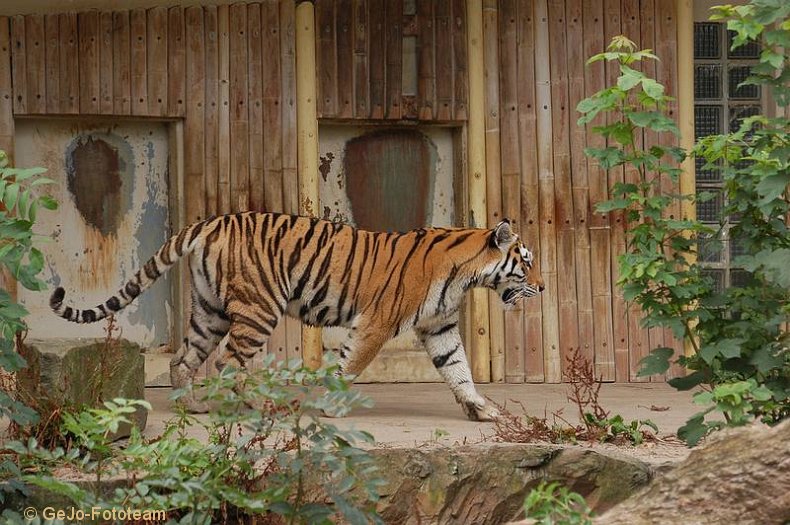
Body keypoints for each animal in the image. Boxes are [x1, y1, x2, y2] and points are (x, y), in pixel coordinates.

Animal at [49, 211, 544, 420]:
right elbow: (348, 367)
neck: (466, 274)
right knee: (227, 364)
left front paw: (481, 409)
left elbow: (459, 369)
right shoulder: (376, 324)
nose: (542, 287)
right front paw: (330, 406)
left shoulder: (438, 326)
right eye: (527, 262)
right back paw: (243, 407)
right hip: (258, 310)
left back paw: (193, 405)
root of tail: (212, 221)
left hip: (210, 311)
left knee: (184, 359)